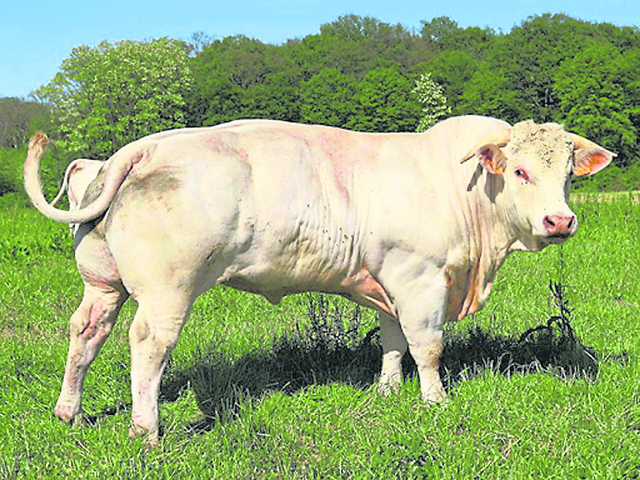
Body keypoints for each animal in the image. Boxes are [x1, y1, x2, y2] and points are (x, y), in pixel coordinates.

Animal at [26, 114, 616, 444]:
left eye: (568, 174)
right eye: (519, 171)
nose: (560, 221)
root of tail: (147, 145)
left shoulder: (387, 280)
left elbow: (392, 340)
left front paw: (386, 389)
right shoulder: (420, 278)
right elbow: (427, 346)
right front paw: (435, 402)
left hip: (103, 282)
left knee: (86, 333)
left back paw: (67, 413)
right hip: (168, 291)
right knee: (148, 345)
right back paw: (147, 432)